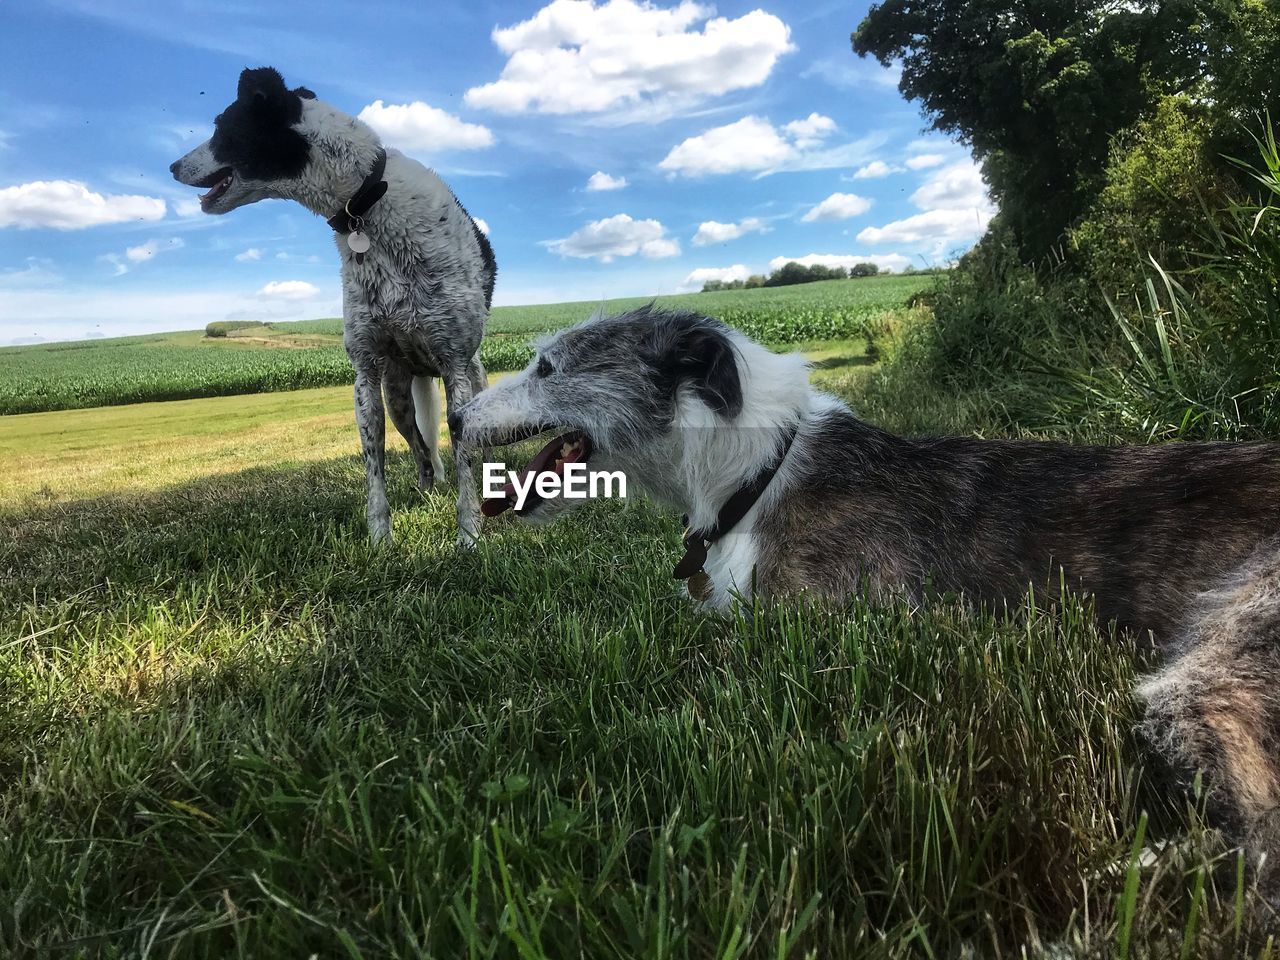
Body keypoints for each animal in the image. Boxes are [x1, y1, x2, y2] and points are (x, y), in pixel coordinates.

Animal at [168, 65, 488, 547]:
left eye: (221, 127)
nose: (171, 167)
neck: (366, 200)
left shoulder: (454, 365)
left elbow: (465, 460)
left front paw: (469, 535)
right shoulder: (366, 375)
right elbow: (375, 468)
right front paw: (380, 541)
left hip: (473, 377)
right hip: (398, 395)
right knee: (421, 452)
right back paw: (427, 491)